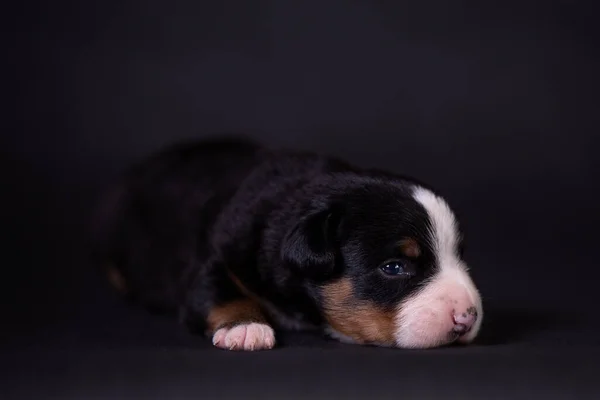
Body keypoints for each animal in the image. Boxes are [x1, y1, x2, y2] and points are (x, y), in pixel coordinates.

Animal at [90, 137, 482, 350]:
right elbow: (219, 292)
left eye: (460, 258)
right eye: (394, 267)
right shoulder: (214, 255)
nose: (468, 316)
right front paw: (244, 327)